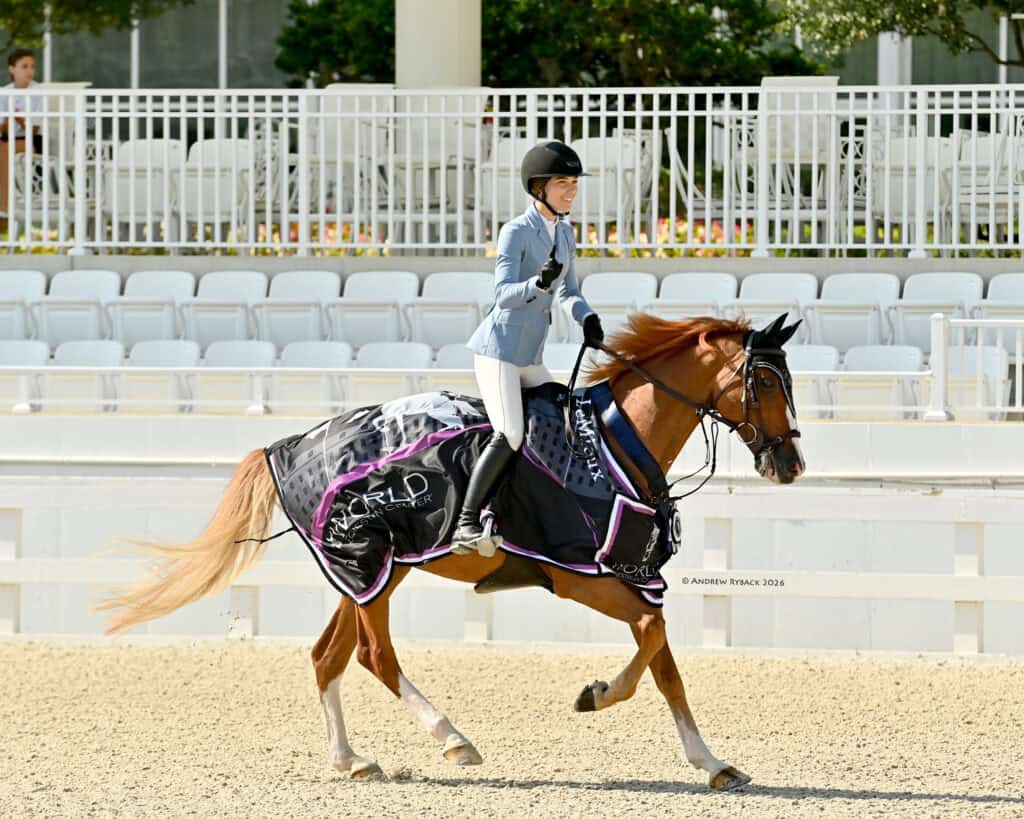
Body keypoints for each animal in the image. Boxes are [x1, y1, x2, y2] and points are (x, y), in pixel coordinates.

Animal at [98, 313, 805, 791]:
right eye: (766, 382)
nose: (791, 464)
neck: (610, 444)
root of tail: (291, 445)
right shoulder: (581, 577)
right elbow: (652, 640)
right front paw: (596, 694)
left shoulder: (634, 577)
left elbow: (665, 661)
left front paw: (712, 764)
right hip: (372, 569)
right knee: (373, 655)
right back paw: (455, 741)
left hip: (366, 573)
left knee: (328, 657)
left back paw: (353, 761)